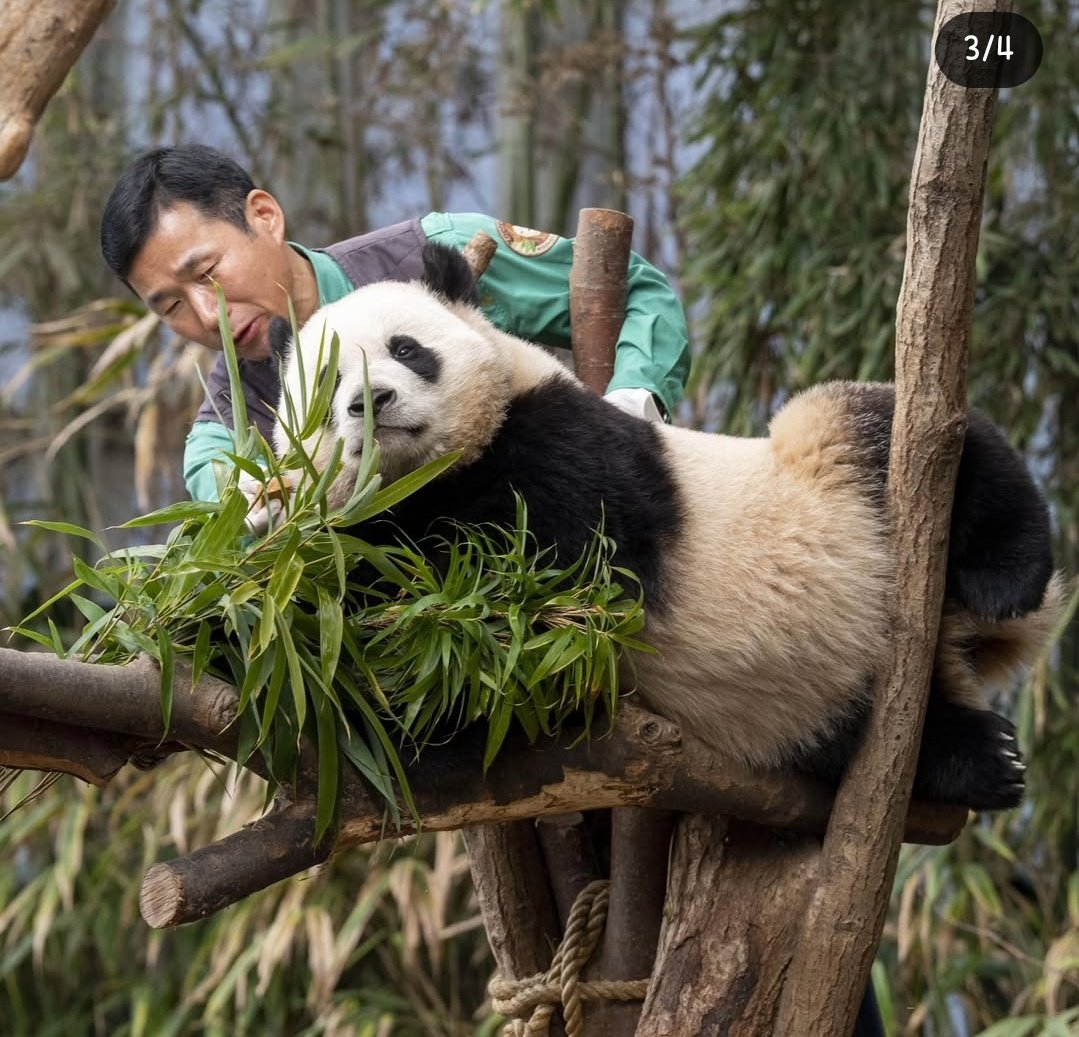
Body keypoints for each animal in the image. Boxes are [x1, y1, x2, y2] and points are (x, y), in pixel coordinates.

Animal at [271, 240, 1061, 811]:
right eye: (326, 384)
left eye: (406, 348)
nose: (371, 402)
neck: (439, 476)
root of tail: (952, 633)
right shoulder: (374, 533)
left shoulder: (563, 443)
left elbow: (572, 584)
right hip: (807, 708)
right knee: (875, 733)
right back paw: (982, 759)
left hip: (832, 476)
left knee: (908, 434)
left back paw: (1006, 577)